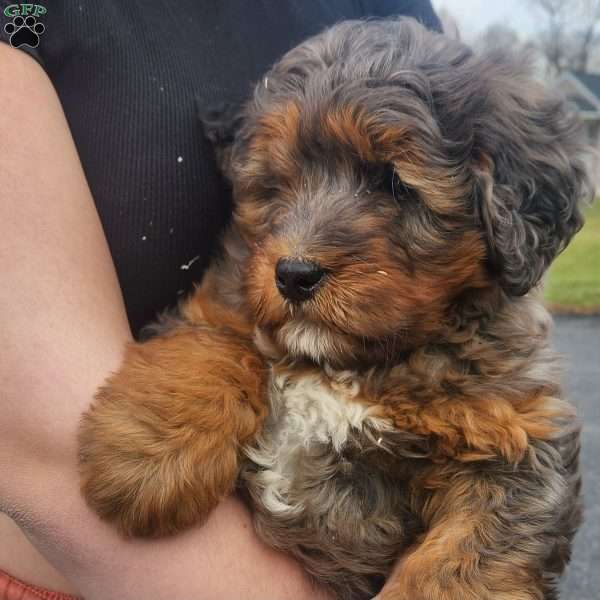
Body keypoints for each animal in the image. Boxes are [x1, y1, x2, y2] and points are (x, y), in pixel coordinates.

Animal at [78, 17, 592, 600]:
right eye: (276, 183)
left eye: (395, 182)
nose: (293, 275)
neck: (344, 367)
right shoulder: (222, 300)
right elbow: (215, 342)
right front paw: (146, 459)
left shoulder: (516, 439)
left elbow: (461, 561)